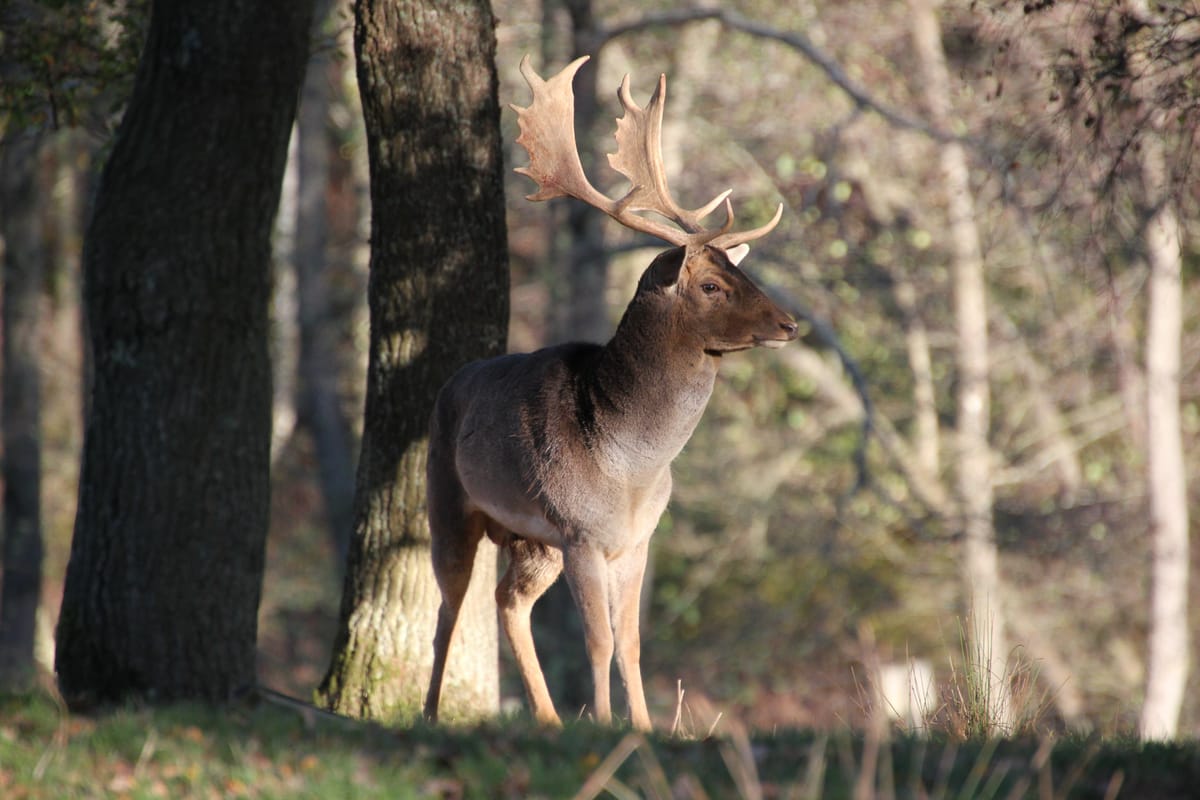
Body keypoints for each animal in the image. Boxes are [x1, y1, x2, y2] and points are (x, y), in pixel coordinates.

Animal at [422, 54, 798, 731]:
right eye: (710, 284)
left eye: (741, 269)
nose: (789, 324)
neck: (633, 468)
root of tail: (453, 382)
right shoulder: (580, 531)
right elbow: (598, 640)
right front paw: (600, 721)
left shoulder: (636, 541)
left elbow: (632, 643)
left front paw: (644, 728)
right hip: (449, 501)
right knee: (448, 610)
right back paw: (432, 713)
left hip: (532, 542)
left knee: (507, 602)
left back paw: (546, 719)